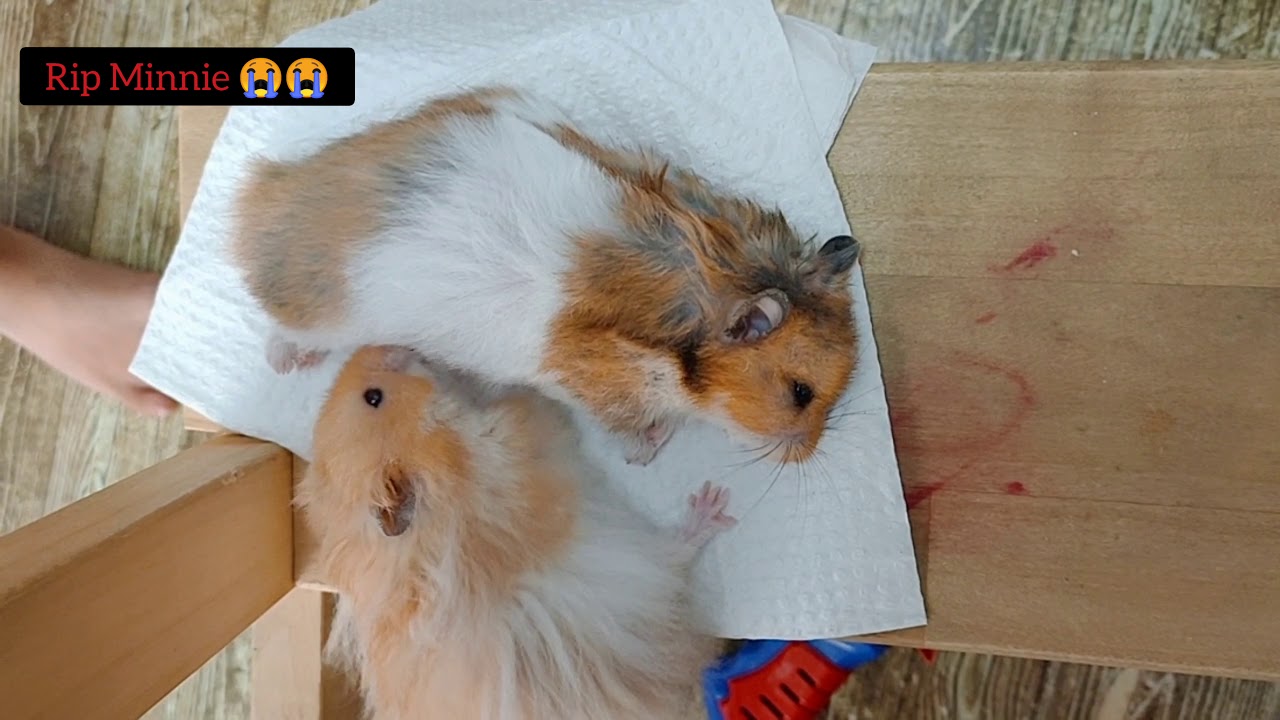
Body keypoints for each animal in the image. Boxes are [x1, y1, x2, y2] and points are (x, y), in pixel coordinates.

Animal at [231, 85, 861, 466]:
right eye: (801, 394)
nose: (806, 453)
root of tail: (261, 198)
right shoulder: (599, 393)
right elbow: (629, 431)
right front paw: (651, 448)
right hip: (330, 315)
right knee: (283, 329)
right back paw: (283, 359)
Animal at [296, 344, 737, 720]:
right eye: (374, 397)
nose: (376, 345)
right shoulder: (520, 430)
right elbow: (532, 402)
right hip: (633, 565)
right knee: (679, 554)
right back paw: (711, 503)